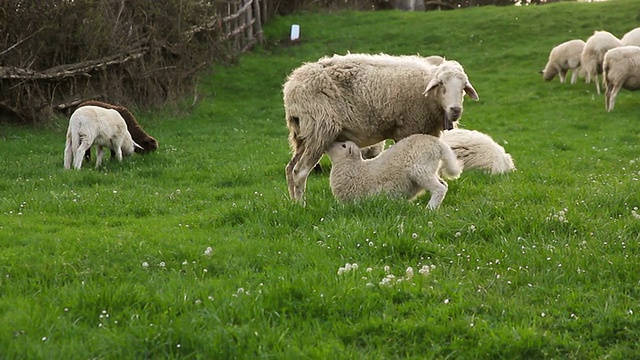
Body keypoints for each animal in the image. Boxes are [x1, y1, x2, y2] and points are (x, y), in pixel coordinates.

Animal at [324, 134, 460, 210]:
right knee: (444, 184)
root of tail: (438, 144)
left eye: (343, 146)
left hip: (419, 168)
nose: (328, 144)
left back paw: (430, 209)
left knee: (439, 188)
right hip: (430, 169)